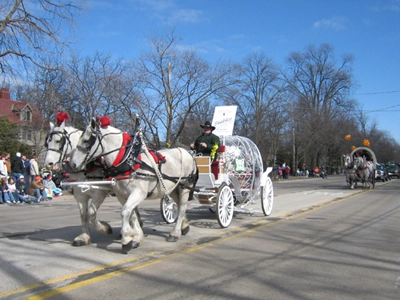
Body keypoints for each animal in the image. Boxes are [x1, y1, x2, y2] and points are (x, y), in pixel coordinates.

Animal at [69, 117, 199, 253]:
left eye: (86, 140)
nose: (73, 164)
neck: (127, 159)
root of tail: (188, 153)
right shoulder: (122, 195)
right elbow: (131, 214)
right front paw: (135, 237)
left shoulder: (138, 193)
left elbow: (125, 212)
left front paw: (127, 239)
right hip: (173, 188)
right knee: (178, 205)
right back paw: (184, 226)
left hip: (185, 186)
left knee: (182, 207)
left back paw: (175, 233)